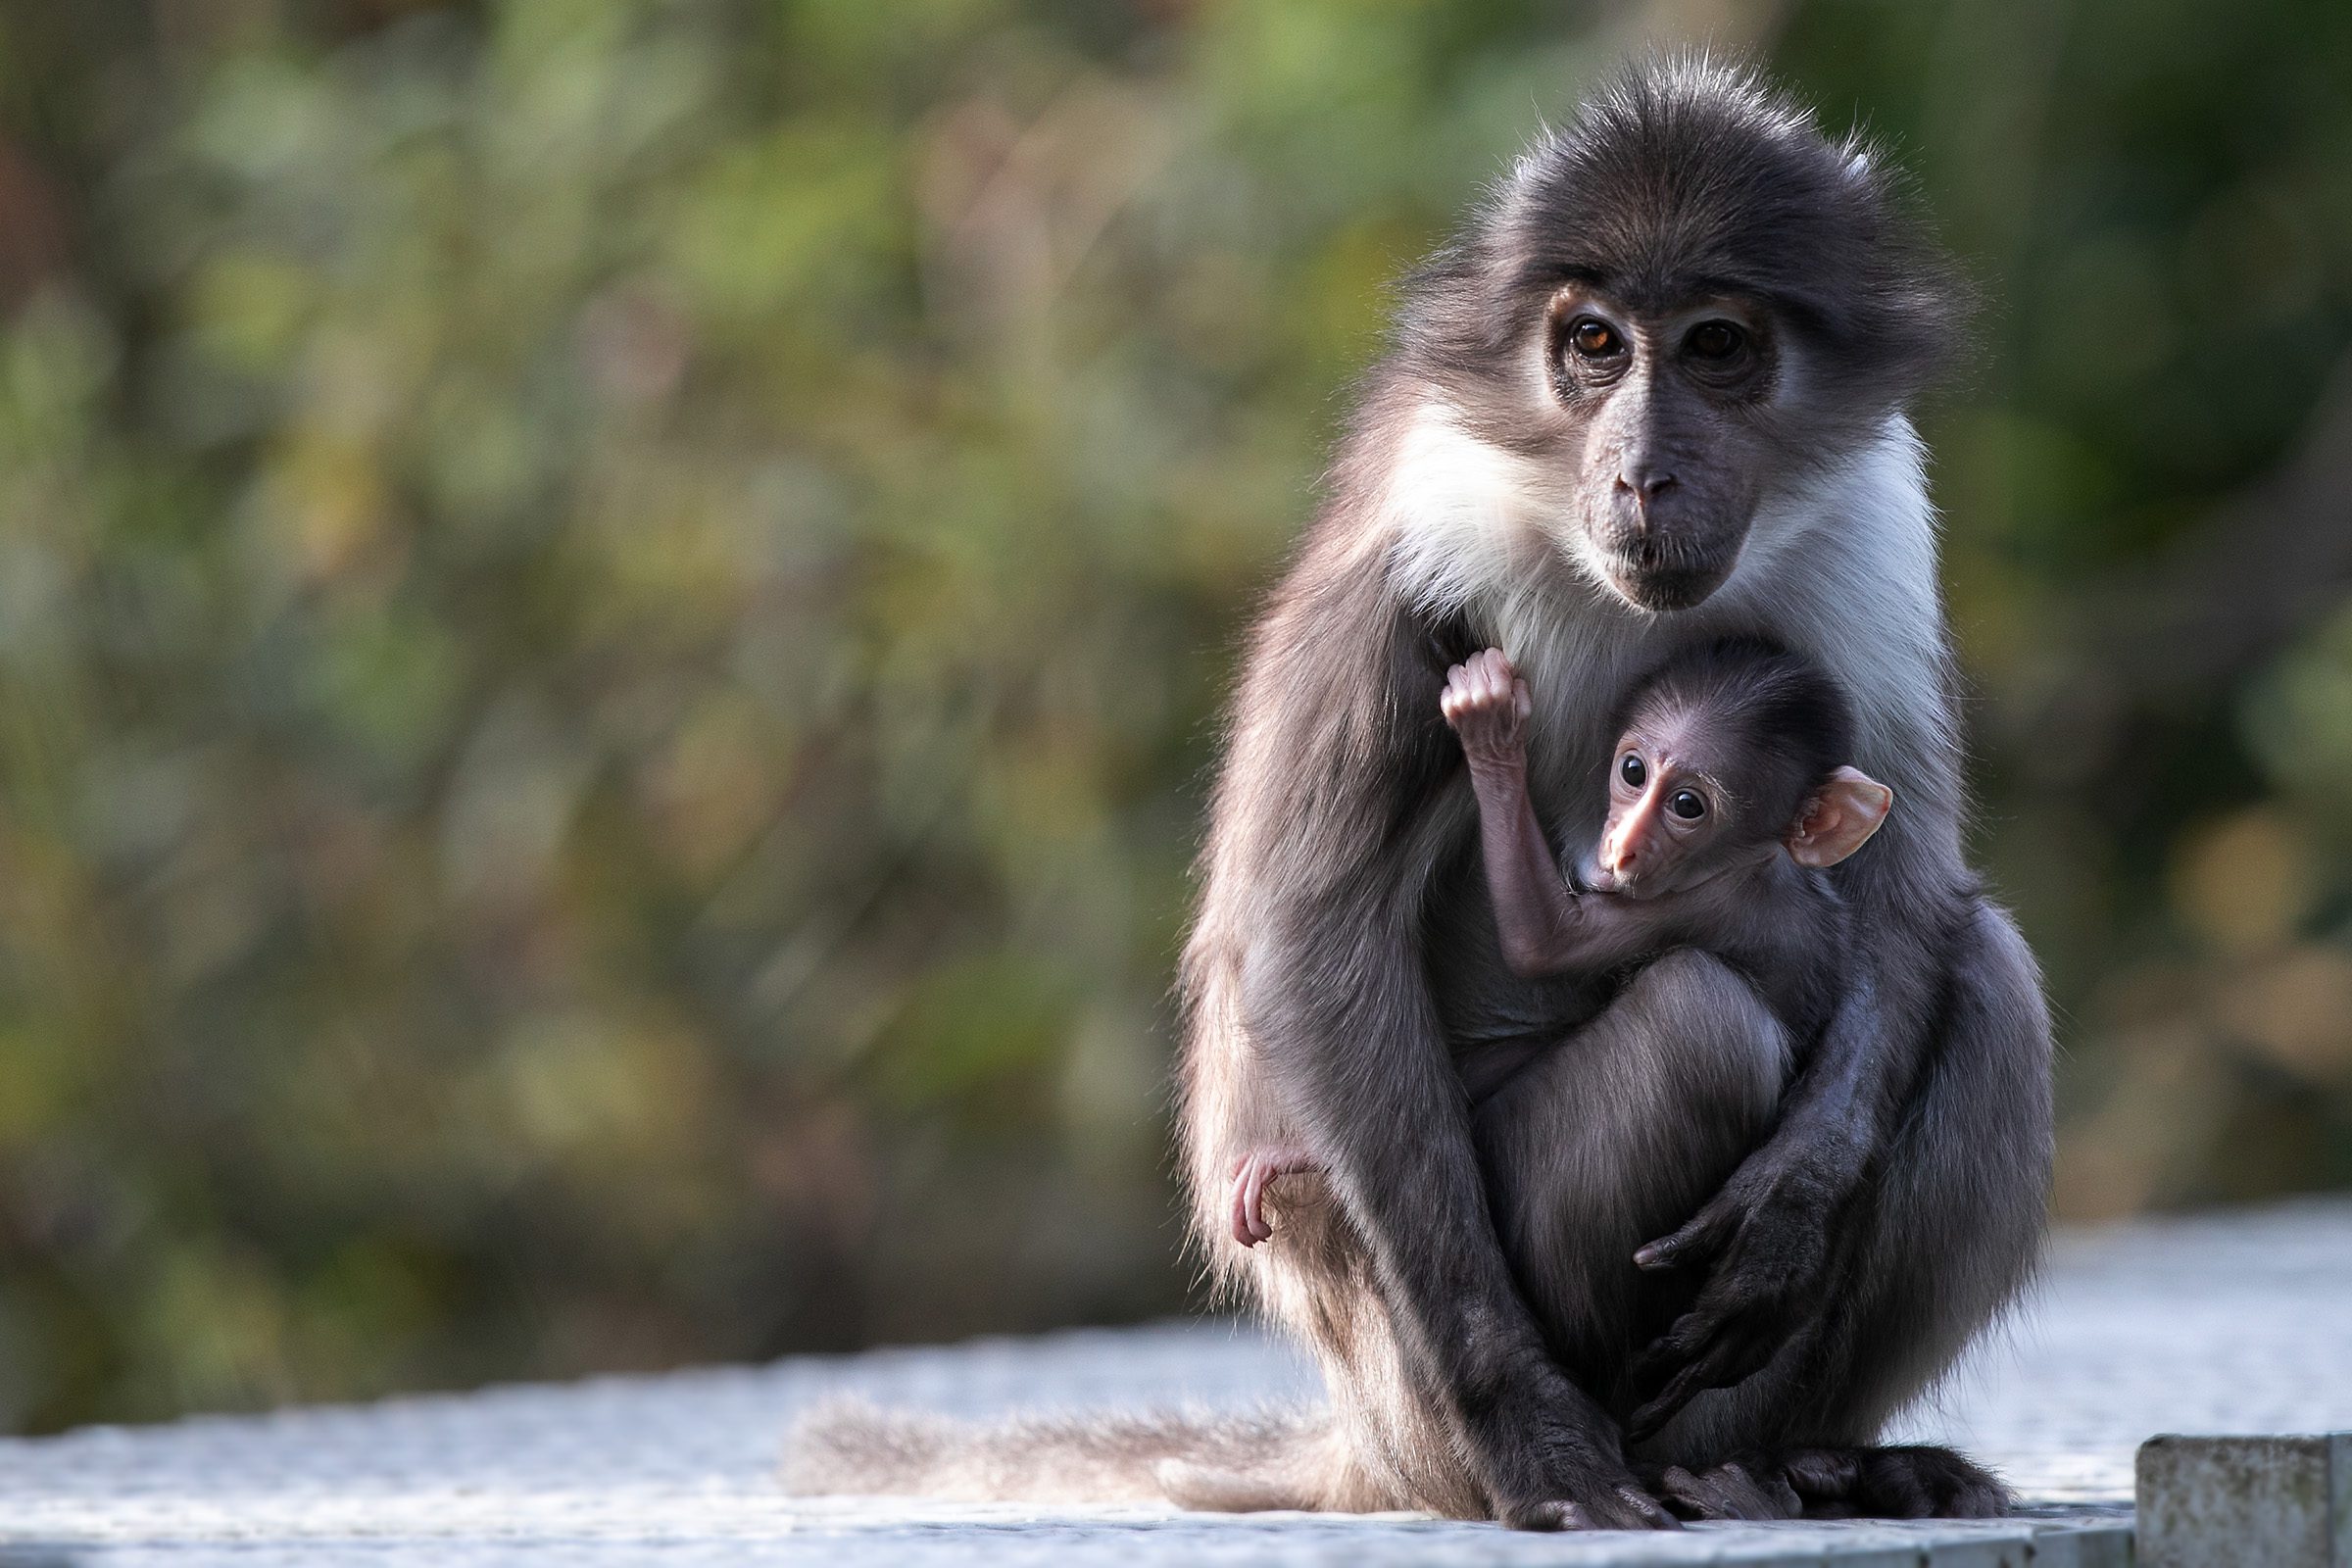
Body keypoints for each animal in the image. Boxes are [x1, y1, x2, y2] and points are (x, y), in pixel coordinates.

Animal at [1232, 639, 1890, 1250]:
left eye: (1687, 806)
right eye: (1633, 772)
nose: (1621, 845)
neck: (1758, 865)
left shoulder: (1701, 902)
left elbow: (1543, 943)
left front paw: (1492, 734)